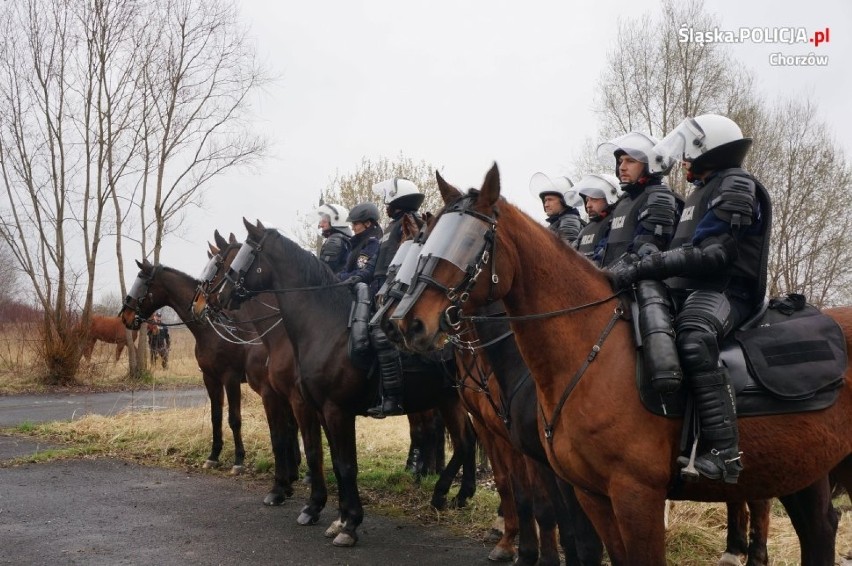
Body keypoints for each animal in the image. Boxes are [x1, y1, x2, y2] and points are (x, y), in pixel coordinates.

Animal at [191, 223, 480, 552]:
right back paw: (452, 495)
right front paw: (332, 515)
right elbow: (325, 456)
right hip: (451, 400)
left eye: (236, 259)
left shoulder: (329, 409)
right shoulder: (317, 408)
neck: (323, 327)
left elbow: (341, 463)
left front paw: (346, 522)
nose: (212, 300)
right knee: (466, 441)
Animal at [390, 163, 848, 564]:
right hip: (802, 471)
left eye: (470, 242)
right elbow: (549, 516)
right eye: (429, 244)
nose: (407, 322)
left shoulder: (634, 495)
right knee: (819, 529)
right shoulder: (583, 486)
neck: (590, 352)